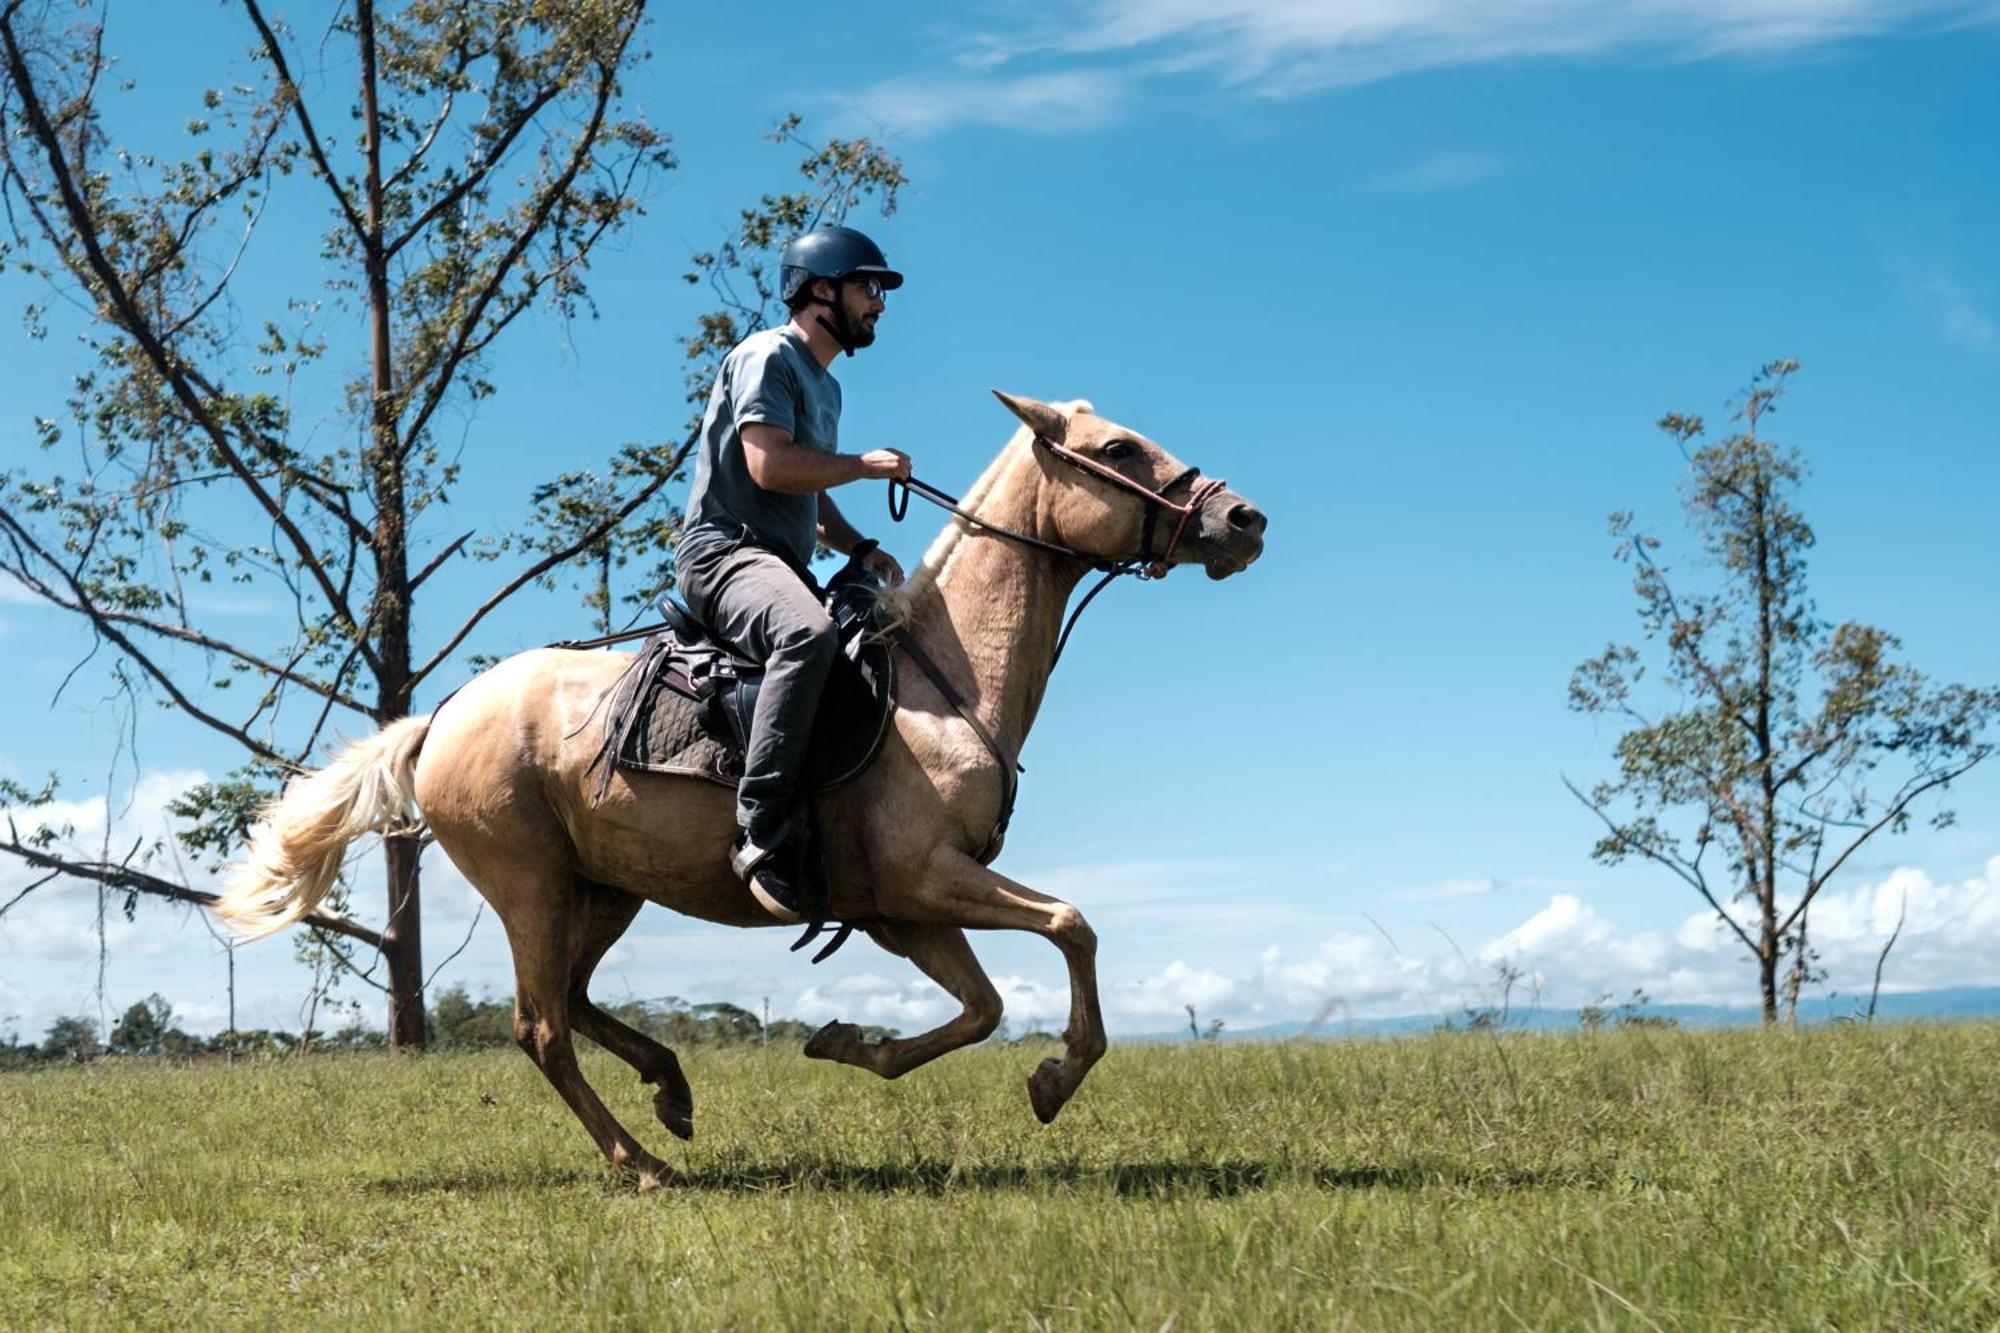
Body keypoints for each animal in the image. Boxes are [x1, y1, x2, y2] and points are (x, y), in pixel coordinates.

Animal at [219, 392, 1264, 1184]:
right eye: (1118, 447)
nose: (1243, 519)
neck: (942, 683)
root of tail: (438, 718)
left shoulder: (903, 907)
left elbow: (984, 1006)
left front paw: (850, 1044)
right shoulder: (927, 878)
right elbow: (1070, 926)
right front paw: (1054, 1076)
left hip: (605, 890)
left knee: (577, 1000)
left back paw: (672, 1090)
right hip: (531, 885)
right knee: (542, 1026)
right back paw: (642, 1162)